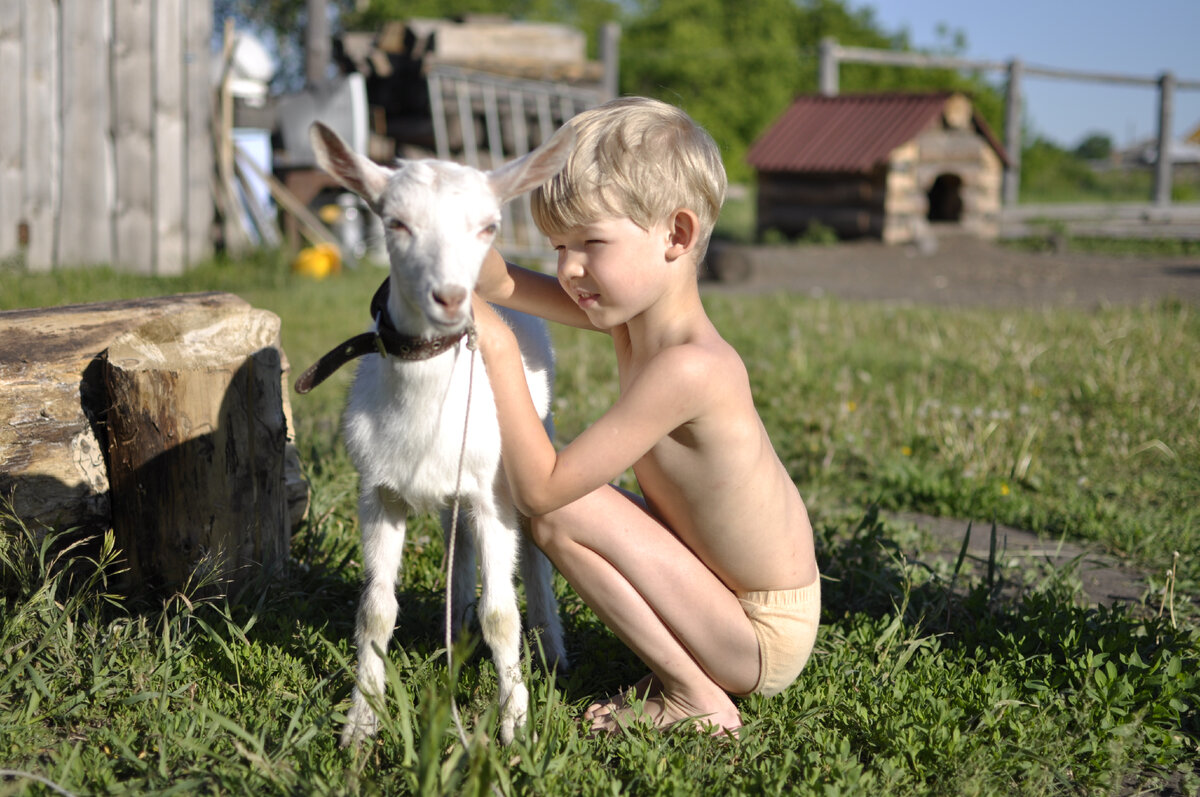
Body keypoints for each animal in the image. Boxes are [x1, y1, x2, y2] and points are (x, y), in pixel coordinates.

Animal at [302, 121, 578, 744]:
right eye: (394, 222)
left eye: (488, 225)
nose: (450, 298)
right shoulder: (376, 493)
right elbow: (375, 611)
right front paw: (360, 723)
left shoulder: (495, 494)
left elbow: (503, 612)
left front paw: (514, 727)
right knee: (460, 553)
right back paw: (455, 640)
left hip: (536, 442)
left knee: (531, 561)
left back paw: (552, 652)